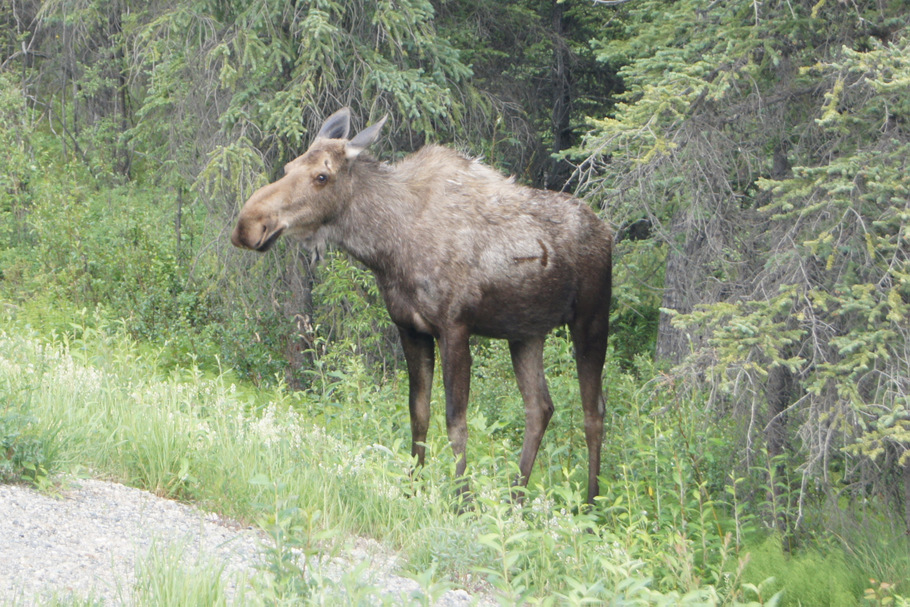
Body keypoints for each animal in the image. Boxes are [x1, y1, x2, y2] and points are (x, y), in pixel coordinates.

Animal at [231, 108, 613, 504]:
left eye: (322, 176)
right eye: (289, 166)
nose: (248, 225)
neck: (386, 248)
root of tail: (608, 232)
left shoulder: (454, 327)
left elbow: (455, 421)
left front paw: (462, 499)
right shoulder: (410, 329)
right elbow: (418, 414)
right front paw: (413, 488)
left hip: (591, 317)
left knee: (594, 410)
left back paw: (590, 501)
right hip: (525, 332)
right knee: (540, 407)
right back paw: (516, 497)